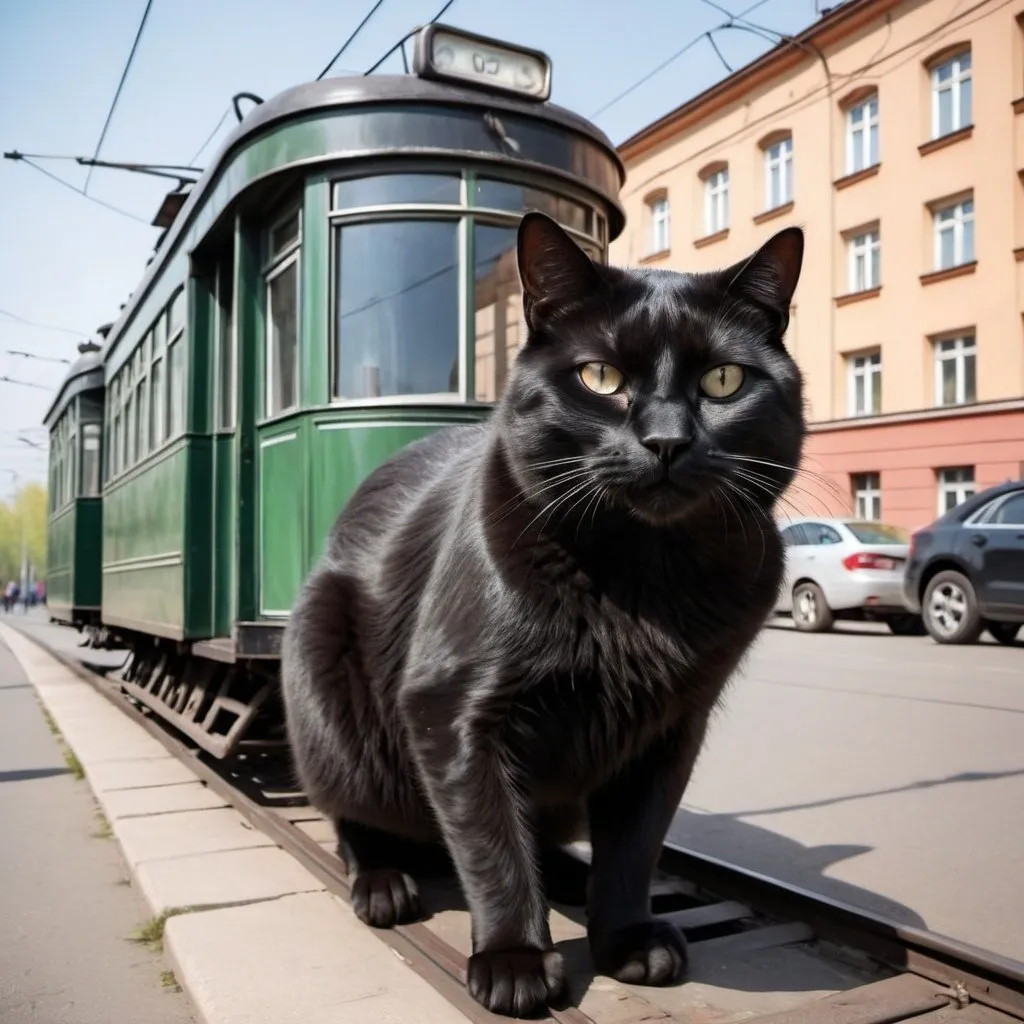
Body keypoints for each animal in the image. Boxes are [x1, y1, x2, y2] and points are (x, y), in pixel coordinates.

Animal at [278, 214, 798, 1015]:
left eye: (723, 382)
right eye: (600, 377)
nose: (667, 441)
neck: (644, 577)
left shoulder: (671, 728)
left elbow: (636, 844)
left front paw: (627, 939)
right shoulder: (453, 711)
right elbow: (491, 841)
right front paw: (513, 958)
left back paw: (573, 878)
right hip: (324, 669)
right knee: (357, 814)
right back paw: (383, 883)